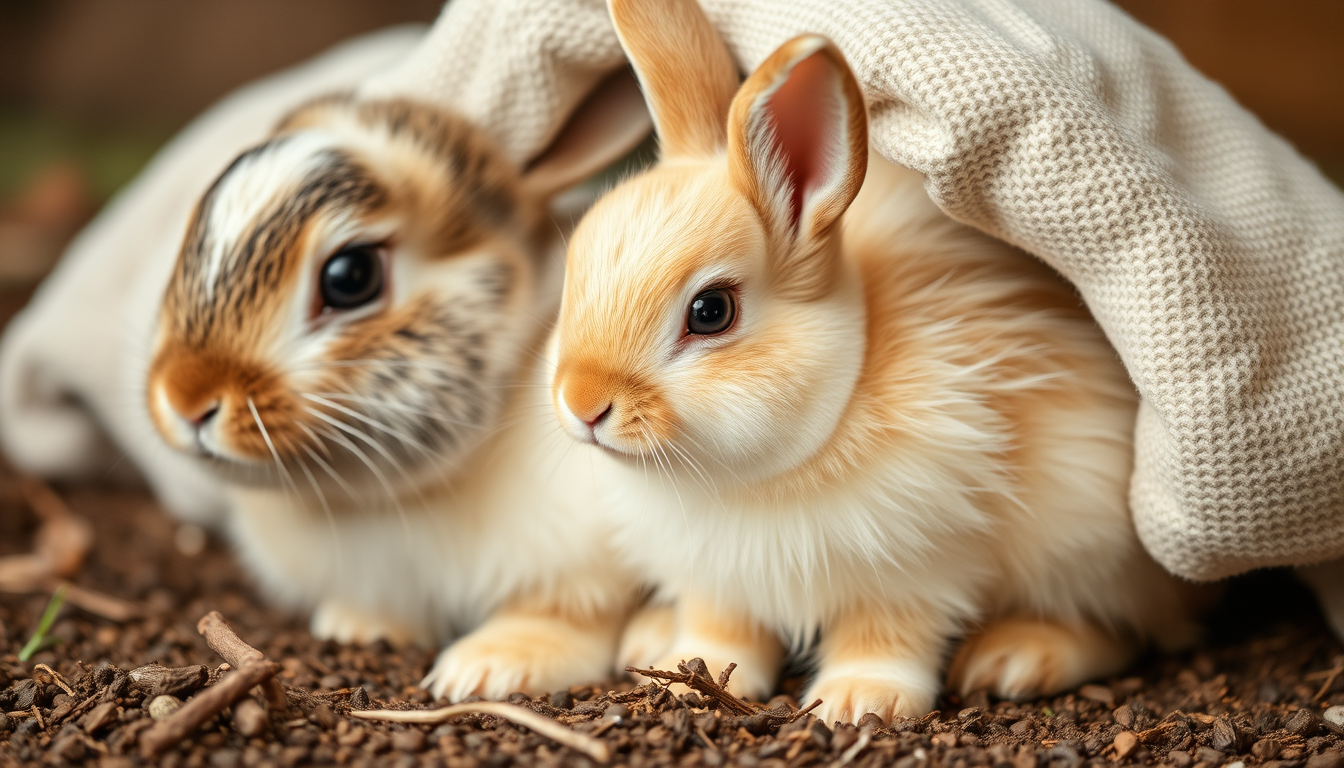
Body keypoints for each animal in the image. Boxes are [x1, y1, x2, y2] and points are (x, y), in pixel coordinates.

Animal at [547, 0, 1197, 724]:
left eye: (711, 311)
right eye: (572, 271)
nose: (581, 403)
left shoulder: (917, 567)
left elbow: (886, 633)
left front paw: (859, 700)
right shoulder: (717, 582)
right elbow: (721, 629)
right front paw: (697, 677)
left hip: (1092, 546)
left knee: (1125, 628)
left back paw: (1017, 658)